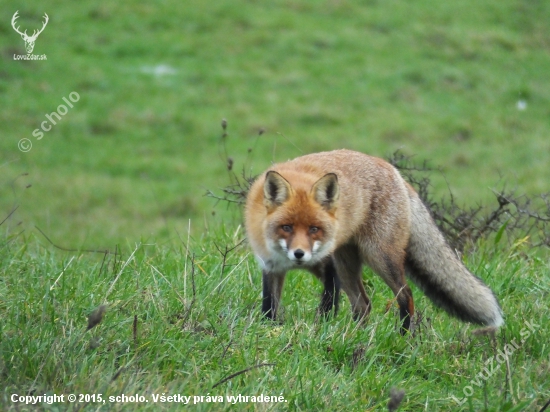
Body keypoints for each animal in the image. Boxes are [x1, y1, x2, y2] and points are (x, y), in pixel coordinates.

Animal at [246, 150, 504, 334]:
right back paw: (355, 335)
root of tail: (394, 171)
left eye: (314, 229)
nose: (299, 254)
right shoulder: (271, 266)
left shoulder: (328, 265)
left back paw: (402, 337)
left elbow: (328, 303)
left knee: (406, 295)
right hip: (347, 265)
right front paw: (269, 329)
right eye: (287, 227)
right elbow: (269, 305)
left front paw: (322, 329)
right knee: (364, 305)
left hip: (378, 257)